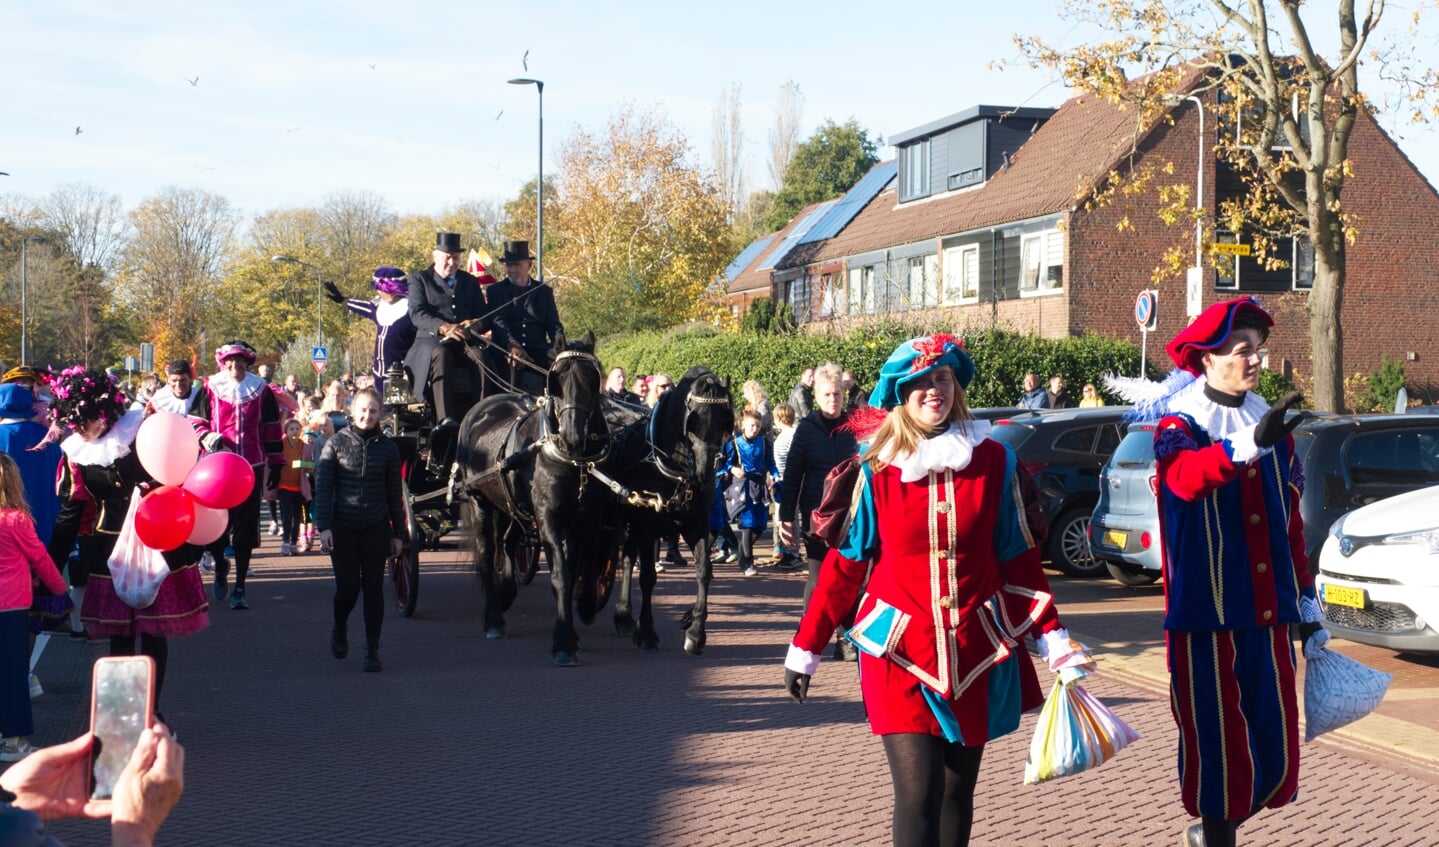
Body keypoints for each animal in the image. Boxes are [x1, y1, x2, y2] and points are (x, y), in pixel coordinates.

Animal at [454, 330, 601, 667]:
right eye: (556, 379)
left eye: (592, 378)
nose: (573, 436)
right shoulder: (548, 517)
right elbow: (560, 575)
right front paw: (563, 643)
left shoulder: (582, 520)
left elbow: (571, 571)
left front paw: (571, 636)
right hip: (480, 502)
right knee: (487, 552)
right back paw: (493, 620)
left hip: (512, 506)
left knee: (508, 543)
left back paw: (506, 593)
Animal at [592, 365, 736, 652]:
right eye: (693, 421)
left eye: (723, 421)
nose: (705, 475)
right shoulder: (645, 527)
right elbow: (648, 576)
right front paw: (647, 633)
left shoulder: (696, 525)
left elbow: (704, 572)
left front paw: (695, 632)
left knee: (628, 558)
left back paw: (624, 616)